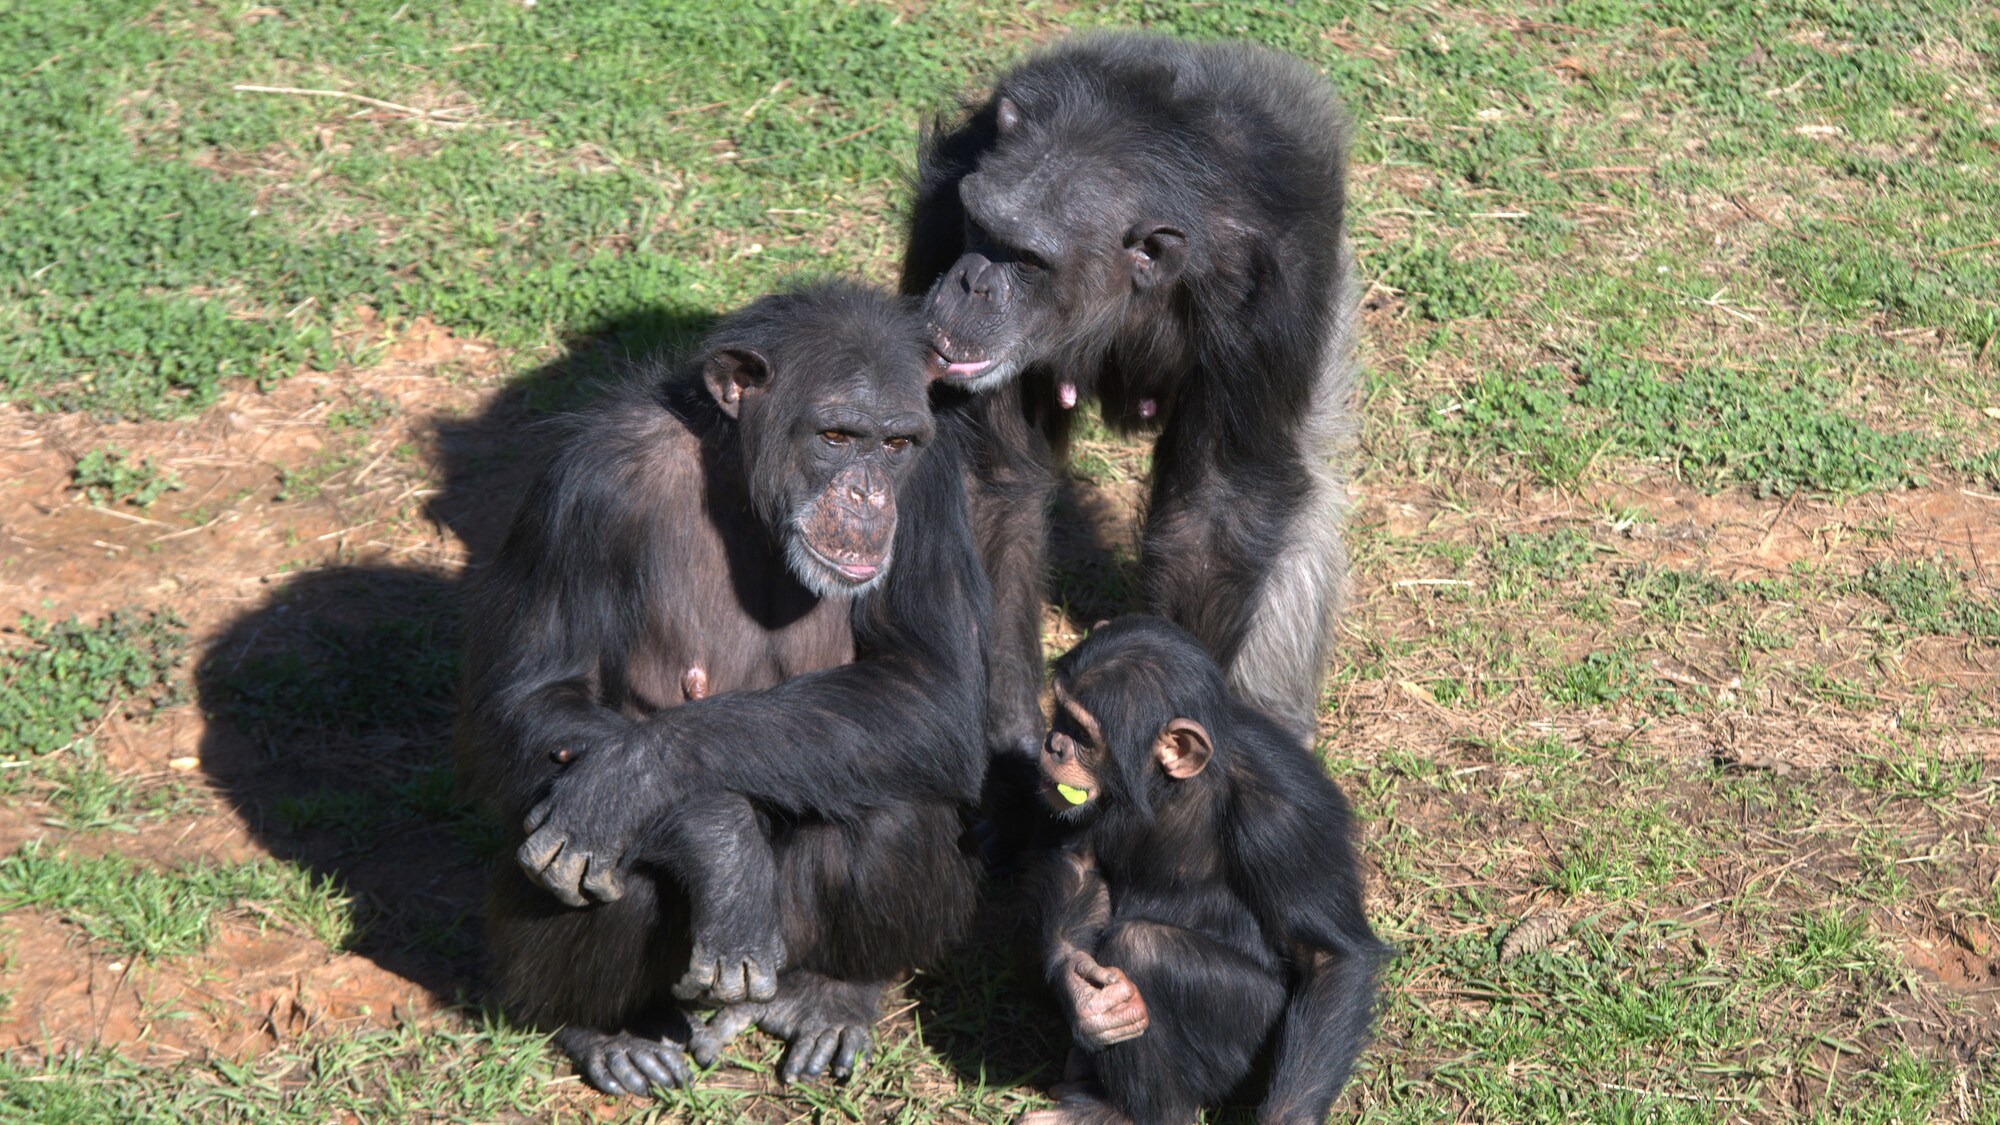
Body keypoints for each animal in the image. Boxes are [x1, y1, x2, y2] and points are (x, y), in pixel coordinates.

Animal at [450, 282, 988, 1096]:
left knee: (898, 806)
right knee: (603, 859)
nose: (868, 495)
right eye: (836, 436)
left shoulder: (927, 490)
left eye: (895, 445)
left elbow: (935, 688)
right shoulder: (585, 484)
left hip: (793, 950)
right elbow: (530, 699)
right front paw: (717, 843)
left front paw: (641, 774)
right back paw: (609, 1034)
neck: (741, 488)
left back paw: (835, 996)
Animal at [904, 35, 1360, 768]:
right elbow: (994, 483)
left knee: (1303, 487)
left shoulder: (1273, 296)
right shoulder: (945, 205)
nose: (970, 282)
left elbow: (1218, 507)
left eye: (1026, 258)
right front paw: (1009, 736)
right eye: (980, 227)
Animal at [1024, 612, 1384, 1120]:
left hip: (1246, 1049)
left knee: (1143, 950)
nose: (1054, 744)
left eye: (1082, 733)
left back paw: (1126, 1113)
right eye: (1060, 712)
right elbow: (1081, 865)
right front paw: (1083, 994)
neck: (1173, 787)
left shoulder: (1283, 821)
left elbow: (1328, 958)